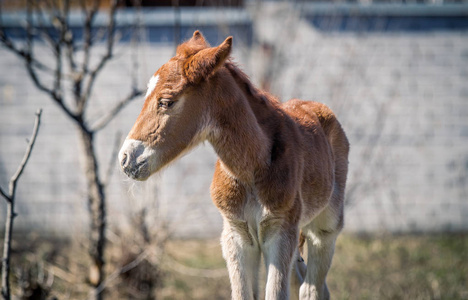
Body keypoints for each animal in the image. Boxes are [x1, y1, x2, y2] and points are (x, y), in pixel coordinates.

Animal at [119, 31, 350, 298]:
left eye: (166, 102)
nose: (126, 158)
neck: (251, 168)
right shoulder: (236, 236)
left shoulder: (280, 234)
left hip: (324, 230)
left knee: (311, 288)